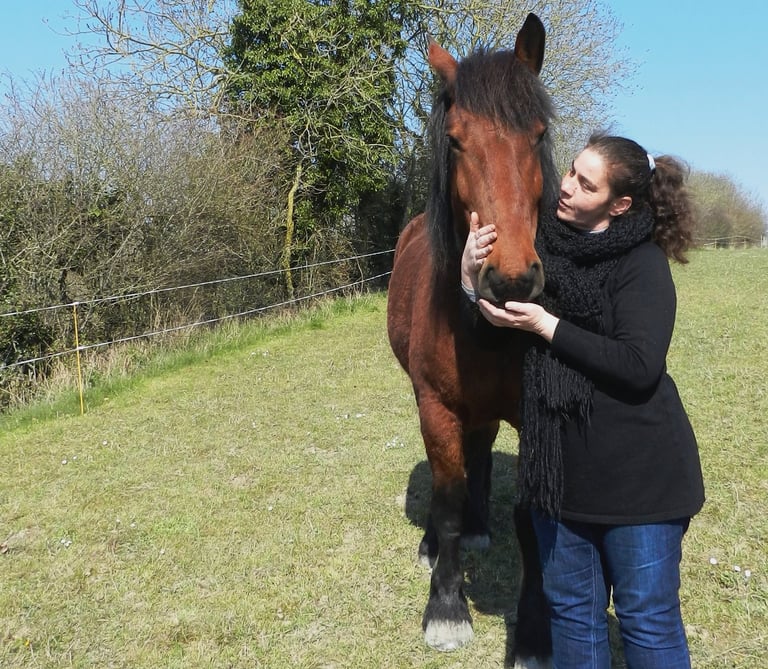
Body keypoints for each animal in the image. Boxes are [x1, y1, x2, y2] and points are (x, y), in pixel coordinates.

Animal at [386, 13, 557, 667]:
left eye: (538, 134)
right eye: (456, 141)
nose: (508, 278)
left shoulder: (532, 416)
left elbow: (530, 520)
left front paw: (533, 636)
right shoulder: (436, 406)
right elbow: (448, 499)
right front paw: (446, 609)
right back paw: (437, 546)